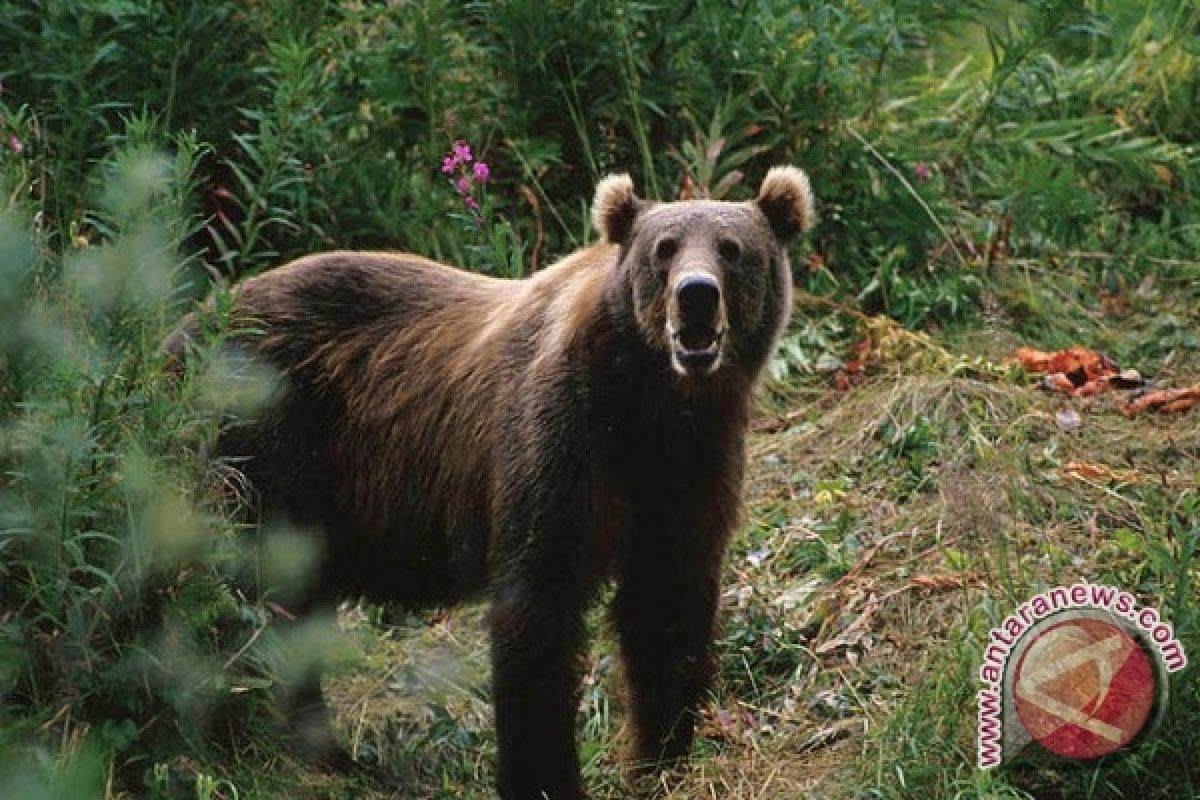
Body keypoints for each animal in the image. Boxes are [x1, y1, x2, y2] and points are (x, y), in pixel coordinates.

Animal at [174, 165, 816, 796]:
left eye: (732, 249)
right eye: (665, 248)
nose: (696, 296)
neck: (650, 400)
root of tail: (184, 327)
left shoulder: (689, 466)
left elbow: (666, 602)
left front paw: (660, 758)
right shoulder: (560, 439)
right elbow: (536, 605)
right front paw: (546, 775)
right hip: (266, 438)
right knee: (257, 593)